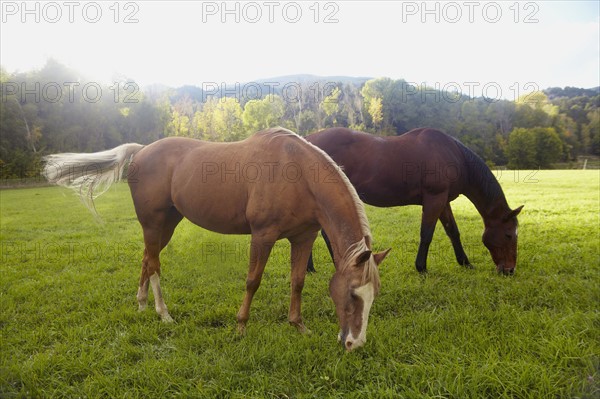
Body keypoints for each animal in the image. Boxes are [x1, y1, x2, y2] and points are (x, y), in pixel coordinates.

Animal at [42, 128, 390, 350]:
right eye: (352, 295)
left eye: (373, 295)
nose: (355, 343)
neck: (298, 173)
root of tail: (141, 150)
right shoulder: (262, 236)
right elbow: (252, 281)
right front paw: (241, 326)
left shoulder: (303, 238)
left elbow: (298, 281)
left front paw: (298, 326)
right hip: (154, 224)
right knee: (154, 265)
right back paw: (163, 314)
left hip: (166, 225)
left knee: (146, 259)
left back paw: (141, 305)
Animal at [304, 127, 520, 276]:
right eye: (509, 234)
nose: (509, 270)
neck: (455, 155)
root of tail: (307, 141)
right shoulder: (434, 199)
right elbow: (426, 234)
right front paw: (421, 267)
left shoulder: (443, 201)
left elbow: (453, 232)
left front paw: (465, 263)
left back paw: (311, 269)